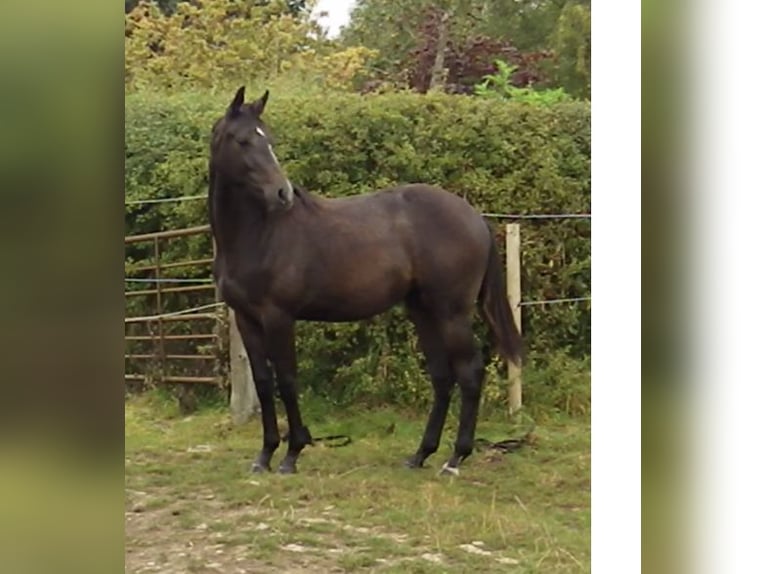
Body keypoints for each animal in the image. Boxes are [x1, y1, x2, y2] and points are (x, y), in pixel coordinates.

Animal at [207, 86, 524, 476]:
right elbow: (265, 384)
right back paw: (421, 454)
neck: (258, 234)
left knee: (469, 372)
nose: (283, 193)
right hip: (422, 310)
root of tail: (474, 216)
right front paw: (264, 456)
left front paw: (292, 454)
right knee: (441, 375)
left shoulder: (279, 317)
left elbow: (288, 381)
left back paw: (454, 459)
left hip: (452, 312)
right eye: (242, 140)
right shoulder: (247, 318)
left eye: (270, 140)